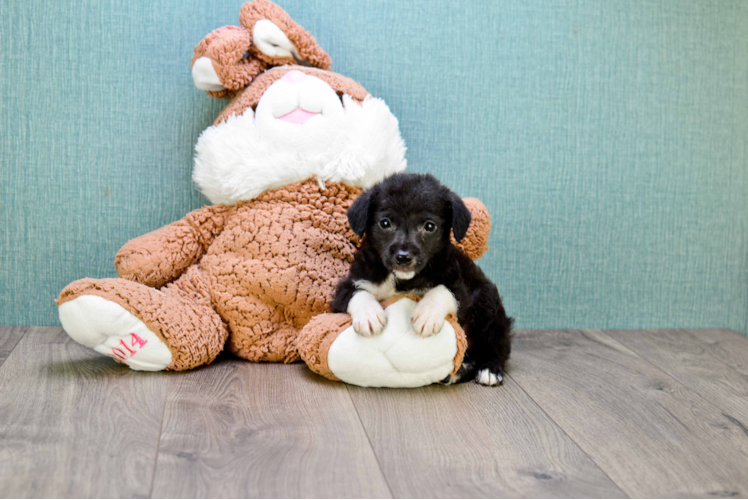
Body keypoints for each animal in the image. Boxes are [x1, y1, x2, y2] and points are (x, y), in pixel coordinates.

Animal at [330, 173, 512, 386]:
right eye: (385, 223)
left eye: (429, 226)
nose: (403, 257)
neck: (401, 280)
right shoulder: (348, 284)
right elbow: (358, 293)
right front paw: (369, 315)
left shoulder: (460, 288)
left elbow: (441, 290)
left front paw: (427, 315)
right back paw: (459, 371)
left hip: (486, 300)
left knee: (497, 345)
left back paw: (489, 369)